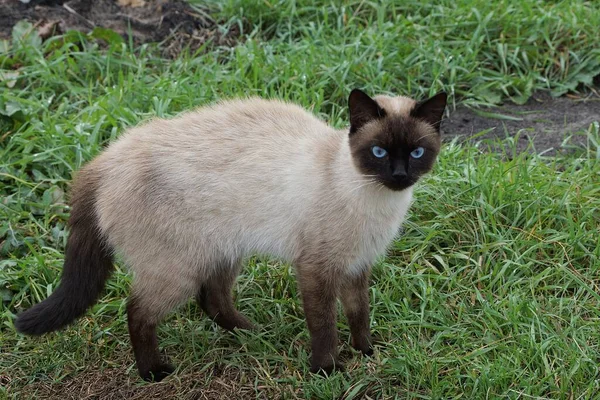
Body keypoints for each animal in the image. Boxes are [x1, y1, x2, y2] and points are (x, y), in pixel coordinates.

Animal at [14, 87, 448, 382]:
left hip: (223, 249)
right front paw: (328, 370)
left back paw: (255, 334)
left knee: (213, 300)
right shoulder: (317, 269)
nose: (399, 175)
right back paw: (154, 373)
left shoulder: (357, 266)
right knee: (138, 311)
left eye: (416, 152)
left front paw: (367, 353)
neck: (374, 199)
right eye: (378, 152)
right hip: (180, 269)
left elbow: (359, 314)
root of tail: (104, 160)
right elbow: (324, 325)